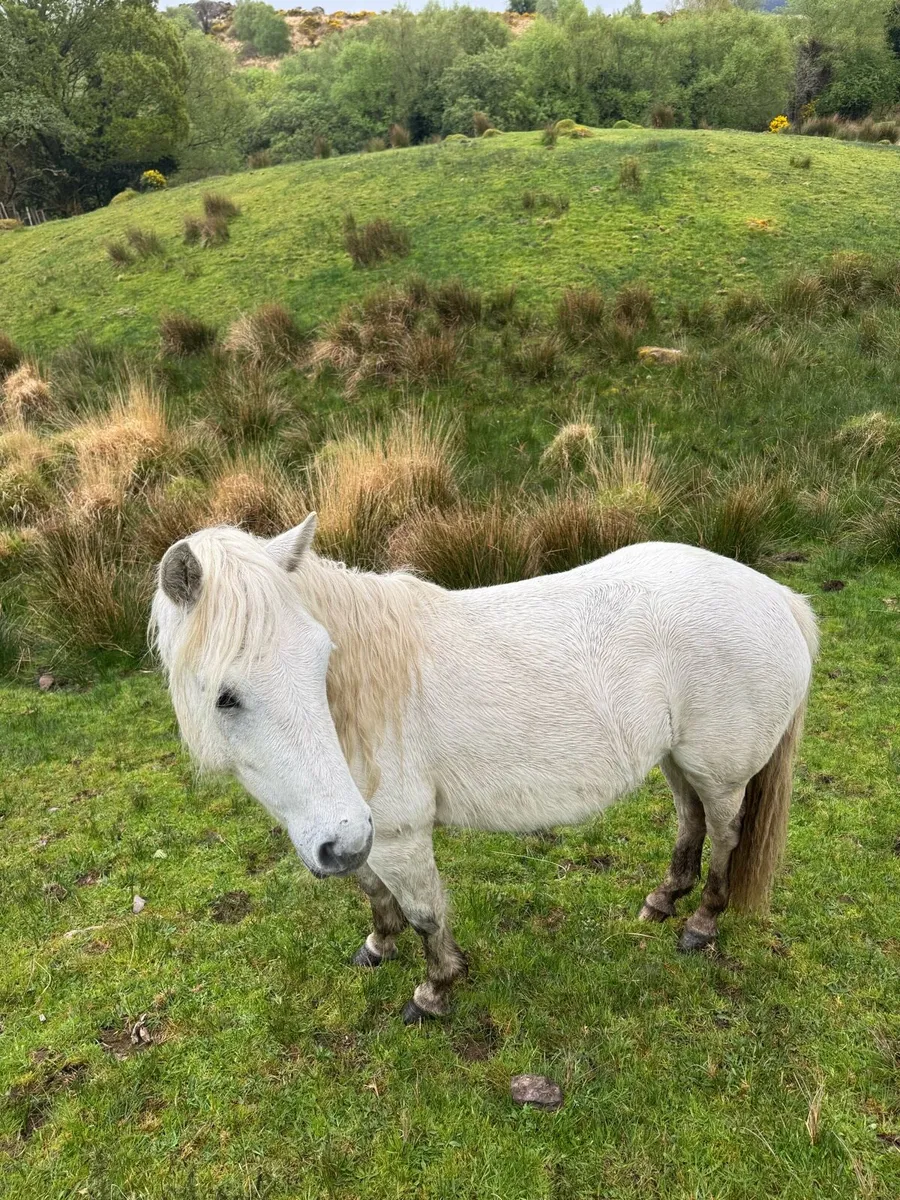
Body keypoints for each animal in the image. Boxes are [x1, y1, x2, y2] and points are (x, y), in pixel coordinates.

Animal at [151, 516, 818, 1023]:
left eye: (322, 661)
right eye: (225, 697)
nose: (341, 839)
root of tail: (778, 597)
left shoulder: (394, 835)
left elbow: (424, 913)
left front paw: (434, 990)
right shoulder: (355, 833)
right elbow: (372, 891)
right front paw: (378, 944)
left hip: (721, 771)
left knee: (725, 834)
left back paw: (702, 923)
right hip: (678, 761)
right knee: (690, 821)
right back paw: (663, 900)